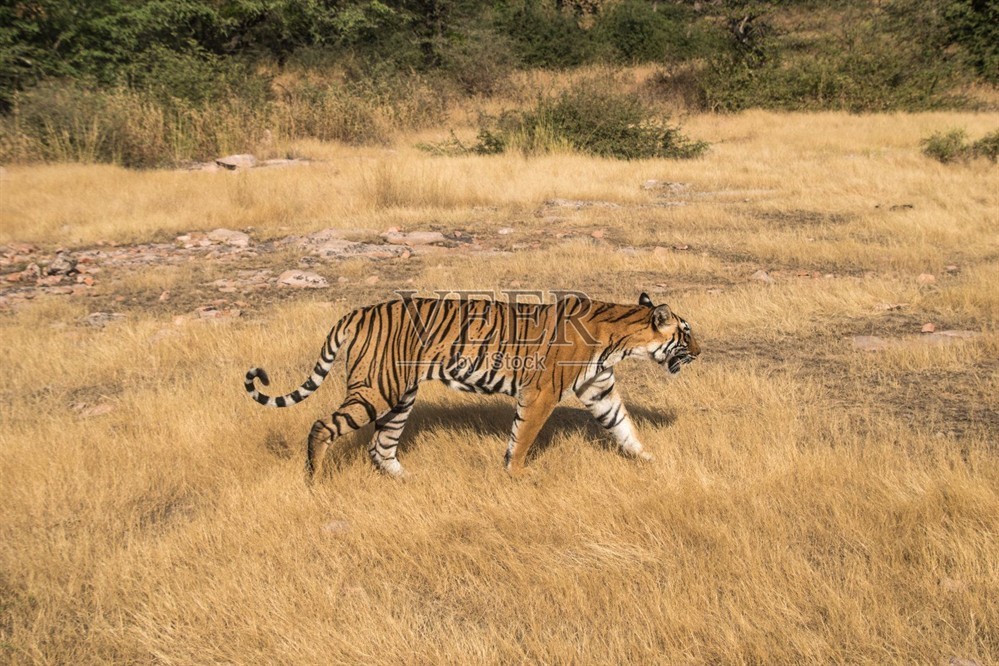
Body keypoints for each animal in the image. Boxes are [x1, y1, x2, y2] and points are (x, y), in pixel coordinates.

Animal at [244, 292, 700, 481]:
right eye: (687, 332)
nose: (700, 350)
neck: (620, 340)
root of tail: (358, 311)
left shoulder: (598, 389)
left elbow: (624, 427)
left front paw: (649, 461)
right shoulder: (541, 393)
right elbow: (523, 436)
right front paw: (516, 475)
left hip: (400, 397)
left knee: (381, 446)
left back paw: (409, 480)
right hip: (377, 389)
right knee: (323, 426)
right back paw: (315, 481)